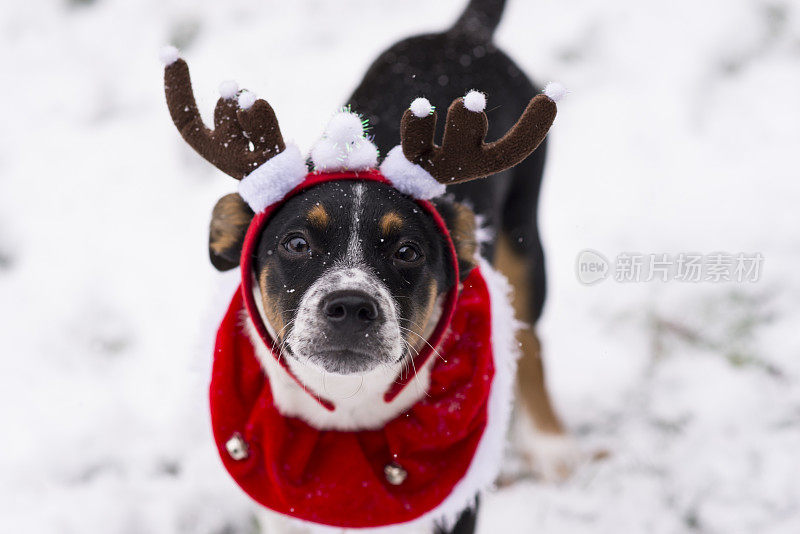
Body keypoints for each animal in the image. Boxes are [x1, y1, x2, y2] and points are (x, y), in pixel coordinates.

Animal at [164, 0, 576, 532]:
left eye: (408, 252)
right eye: (295, 243)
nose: (351, 306)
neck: (348, 406)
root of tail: (461, 34)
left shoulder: (454, 509)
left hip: (524, 234)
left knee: (530, 335)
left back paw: (550, 444)